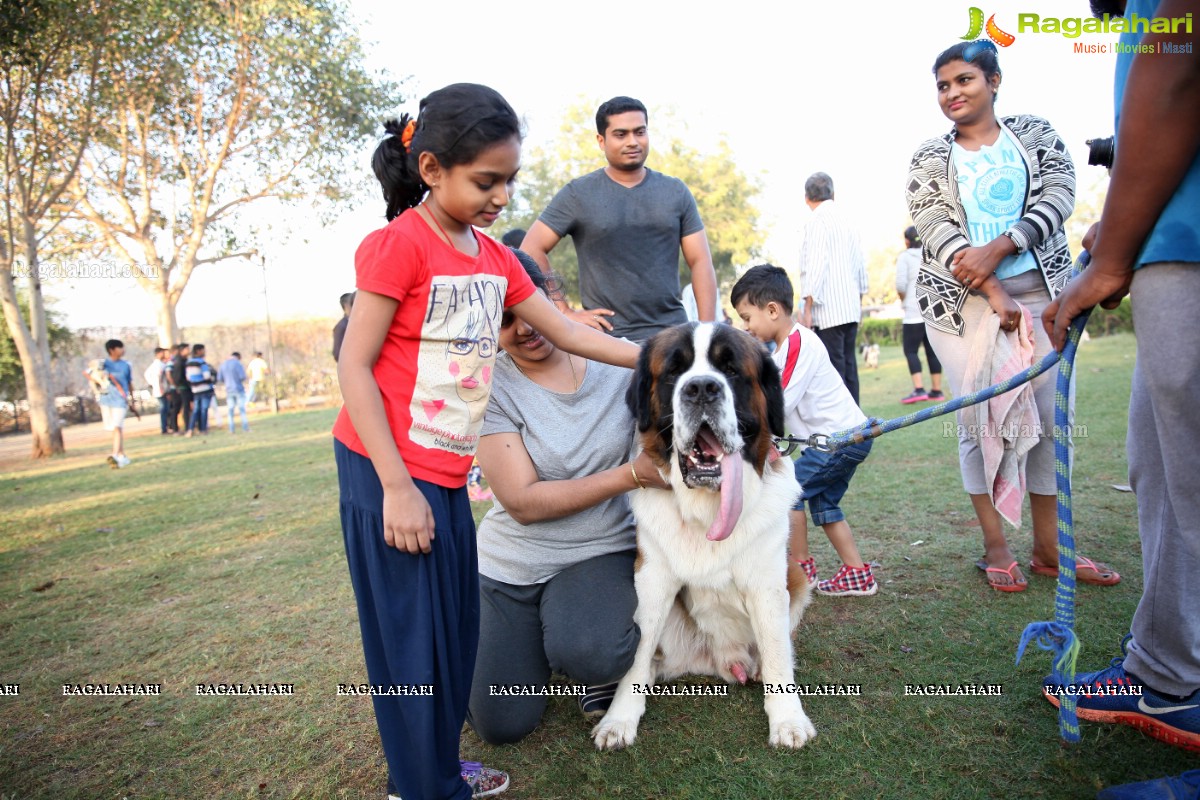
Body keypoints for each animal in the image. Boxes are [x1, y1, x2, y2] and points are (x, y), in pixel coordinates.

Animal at [590, 321, 816, 753]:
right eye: (674, 372)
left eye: (730, 371)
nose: (700, 388)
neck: (707, 510)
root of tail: (723, 661)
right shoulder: (651, 580)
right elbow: (637, 653)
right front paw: (619, 719)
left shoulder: (768, 583)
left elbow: (778, 653)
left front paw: (788, 720)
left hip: (797, 575)